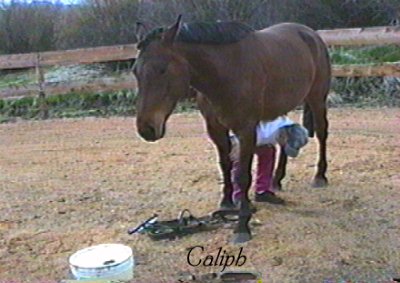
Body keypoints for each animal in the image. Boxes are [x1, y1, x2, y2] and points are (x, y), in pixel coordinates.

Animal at [133, 15, 330, 243]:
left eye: (162, 69)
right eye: (135, 71)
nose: (146, 128)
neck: (226, 72)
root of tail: (311, 33)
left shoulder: (246, 129)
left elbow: (243, 175)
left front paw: (242, 225)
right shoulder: (216, 129)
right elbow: (225, 164)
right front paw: (226, 203)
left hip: (317, 98)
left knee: (322, 133)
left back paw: (320, 176)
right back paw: (276, 181)